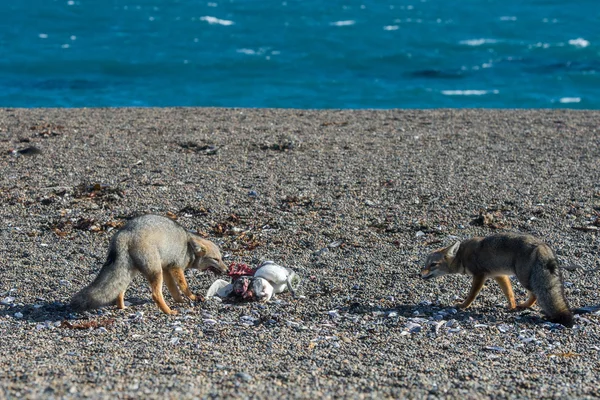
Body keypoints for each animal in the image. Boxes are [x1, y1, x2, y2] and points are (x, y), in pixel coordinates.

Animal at [70, 214, 229, 314]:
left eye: (221, 258)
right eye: (216, 259)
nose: (227, 270)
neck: (188, 246)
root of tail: (125, 233)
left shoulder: (167, 269)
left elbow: (173, 289)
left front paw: (179, 300)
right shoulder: (175, 267)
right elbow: (183, 286)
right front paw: (192, 297)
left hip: (131, 272)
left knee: (119, 290)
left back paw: (122, 308)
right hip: (155, 272)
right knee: (155, 294)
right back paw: (168, 312)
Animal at [420, 233, 576, 326]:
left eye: (433, 264)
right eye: (425, 264)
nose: (421, 274)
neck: (461, 255)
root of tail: (542, 245)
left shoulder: (480, 275)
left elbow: (472, 294)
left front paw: (463, 305)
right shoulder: (498, 275)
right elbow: (509, 292)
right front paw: (511, 305)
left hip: (525, 279)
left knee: (536, 294)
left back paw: (525, 305)